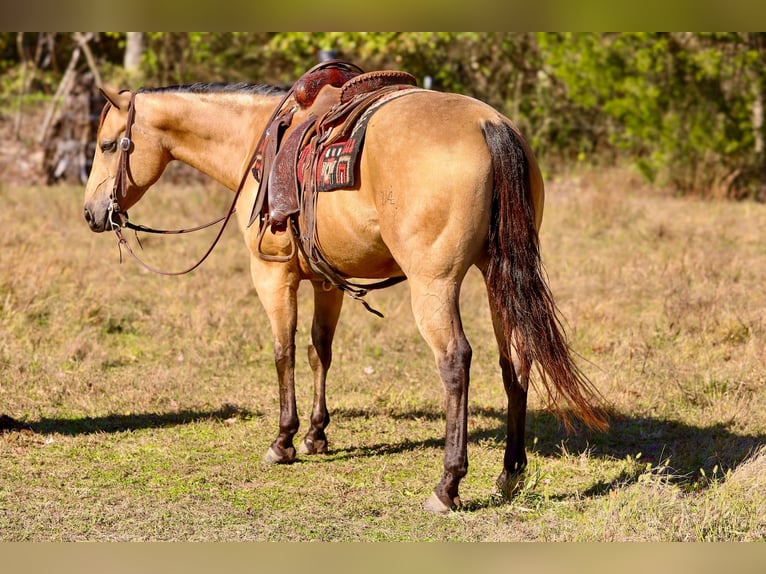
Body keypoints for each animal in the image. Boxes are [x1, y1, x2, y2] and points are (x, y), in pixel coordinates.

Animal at [82, 66, 608, 512]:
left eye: (107, 145)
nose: (91, 213)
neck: (254, 143)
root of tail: (489, 125)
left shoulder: (272, 275)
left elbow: (284, 353)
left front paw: (283, 441)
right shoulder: (325, 280)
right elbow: (320, 352)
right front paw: (316, 435)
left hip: (434, 284)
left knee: (456, 361)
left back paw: (447, 485)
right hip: (499, 272)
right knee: (515, 359)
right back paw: (509, 474)